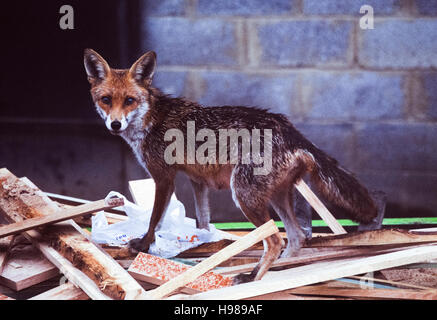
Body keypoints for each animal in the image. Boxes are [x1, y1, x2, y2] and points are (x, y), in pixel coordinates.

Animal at [83, 48, 376, 284]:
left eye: (129, 100)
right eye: (106, 99)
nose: (115, 124)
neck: (151, 119)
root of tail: (288, 127)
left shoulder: (164, 177)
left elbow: (156, 219)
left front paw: (144, 245)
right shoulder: (197, 181)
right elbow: (202, 222)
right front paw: (203, 245)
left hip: (245, 196)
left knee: (276, 240)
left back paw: (252, 277)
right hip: (277, 197)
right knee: (296, 238)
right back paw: (279, 271)